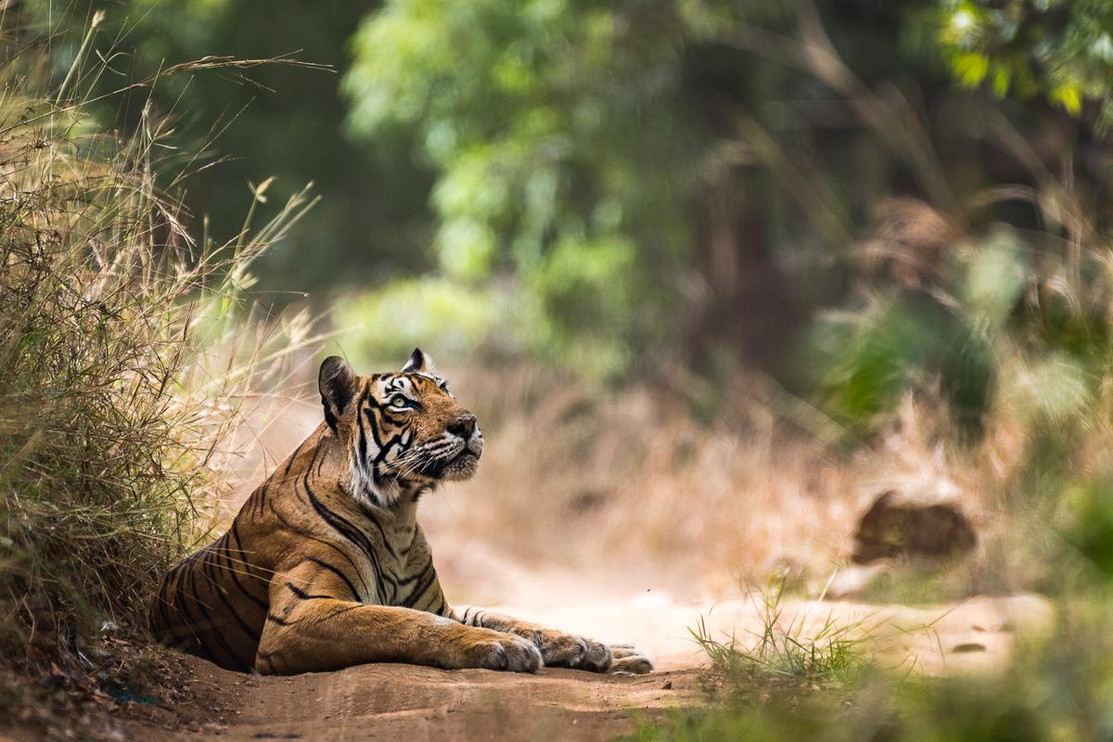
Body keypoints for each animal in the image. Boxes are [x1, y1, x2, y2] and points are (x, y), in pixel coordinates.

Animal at [148, 351, 649, 676]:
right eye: (402, 402)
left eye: (446, 390)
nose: (468, 423)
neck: (398, 517)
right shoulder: (297, 616)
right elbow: (402, 623)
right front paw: (503, 647)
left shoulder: (441, 603)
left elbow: (511, 616)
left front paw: (594, 645)